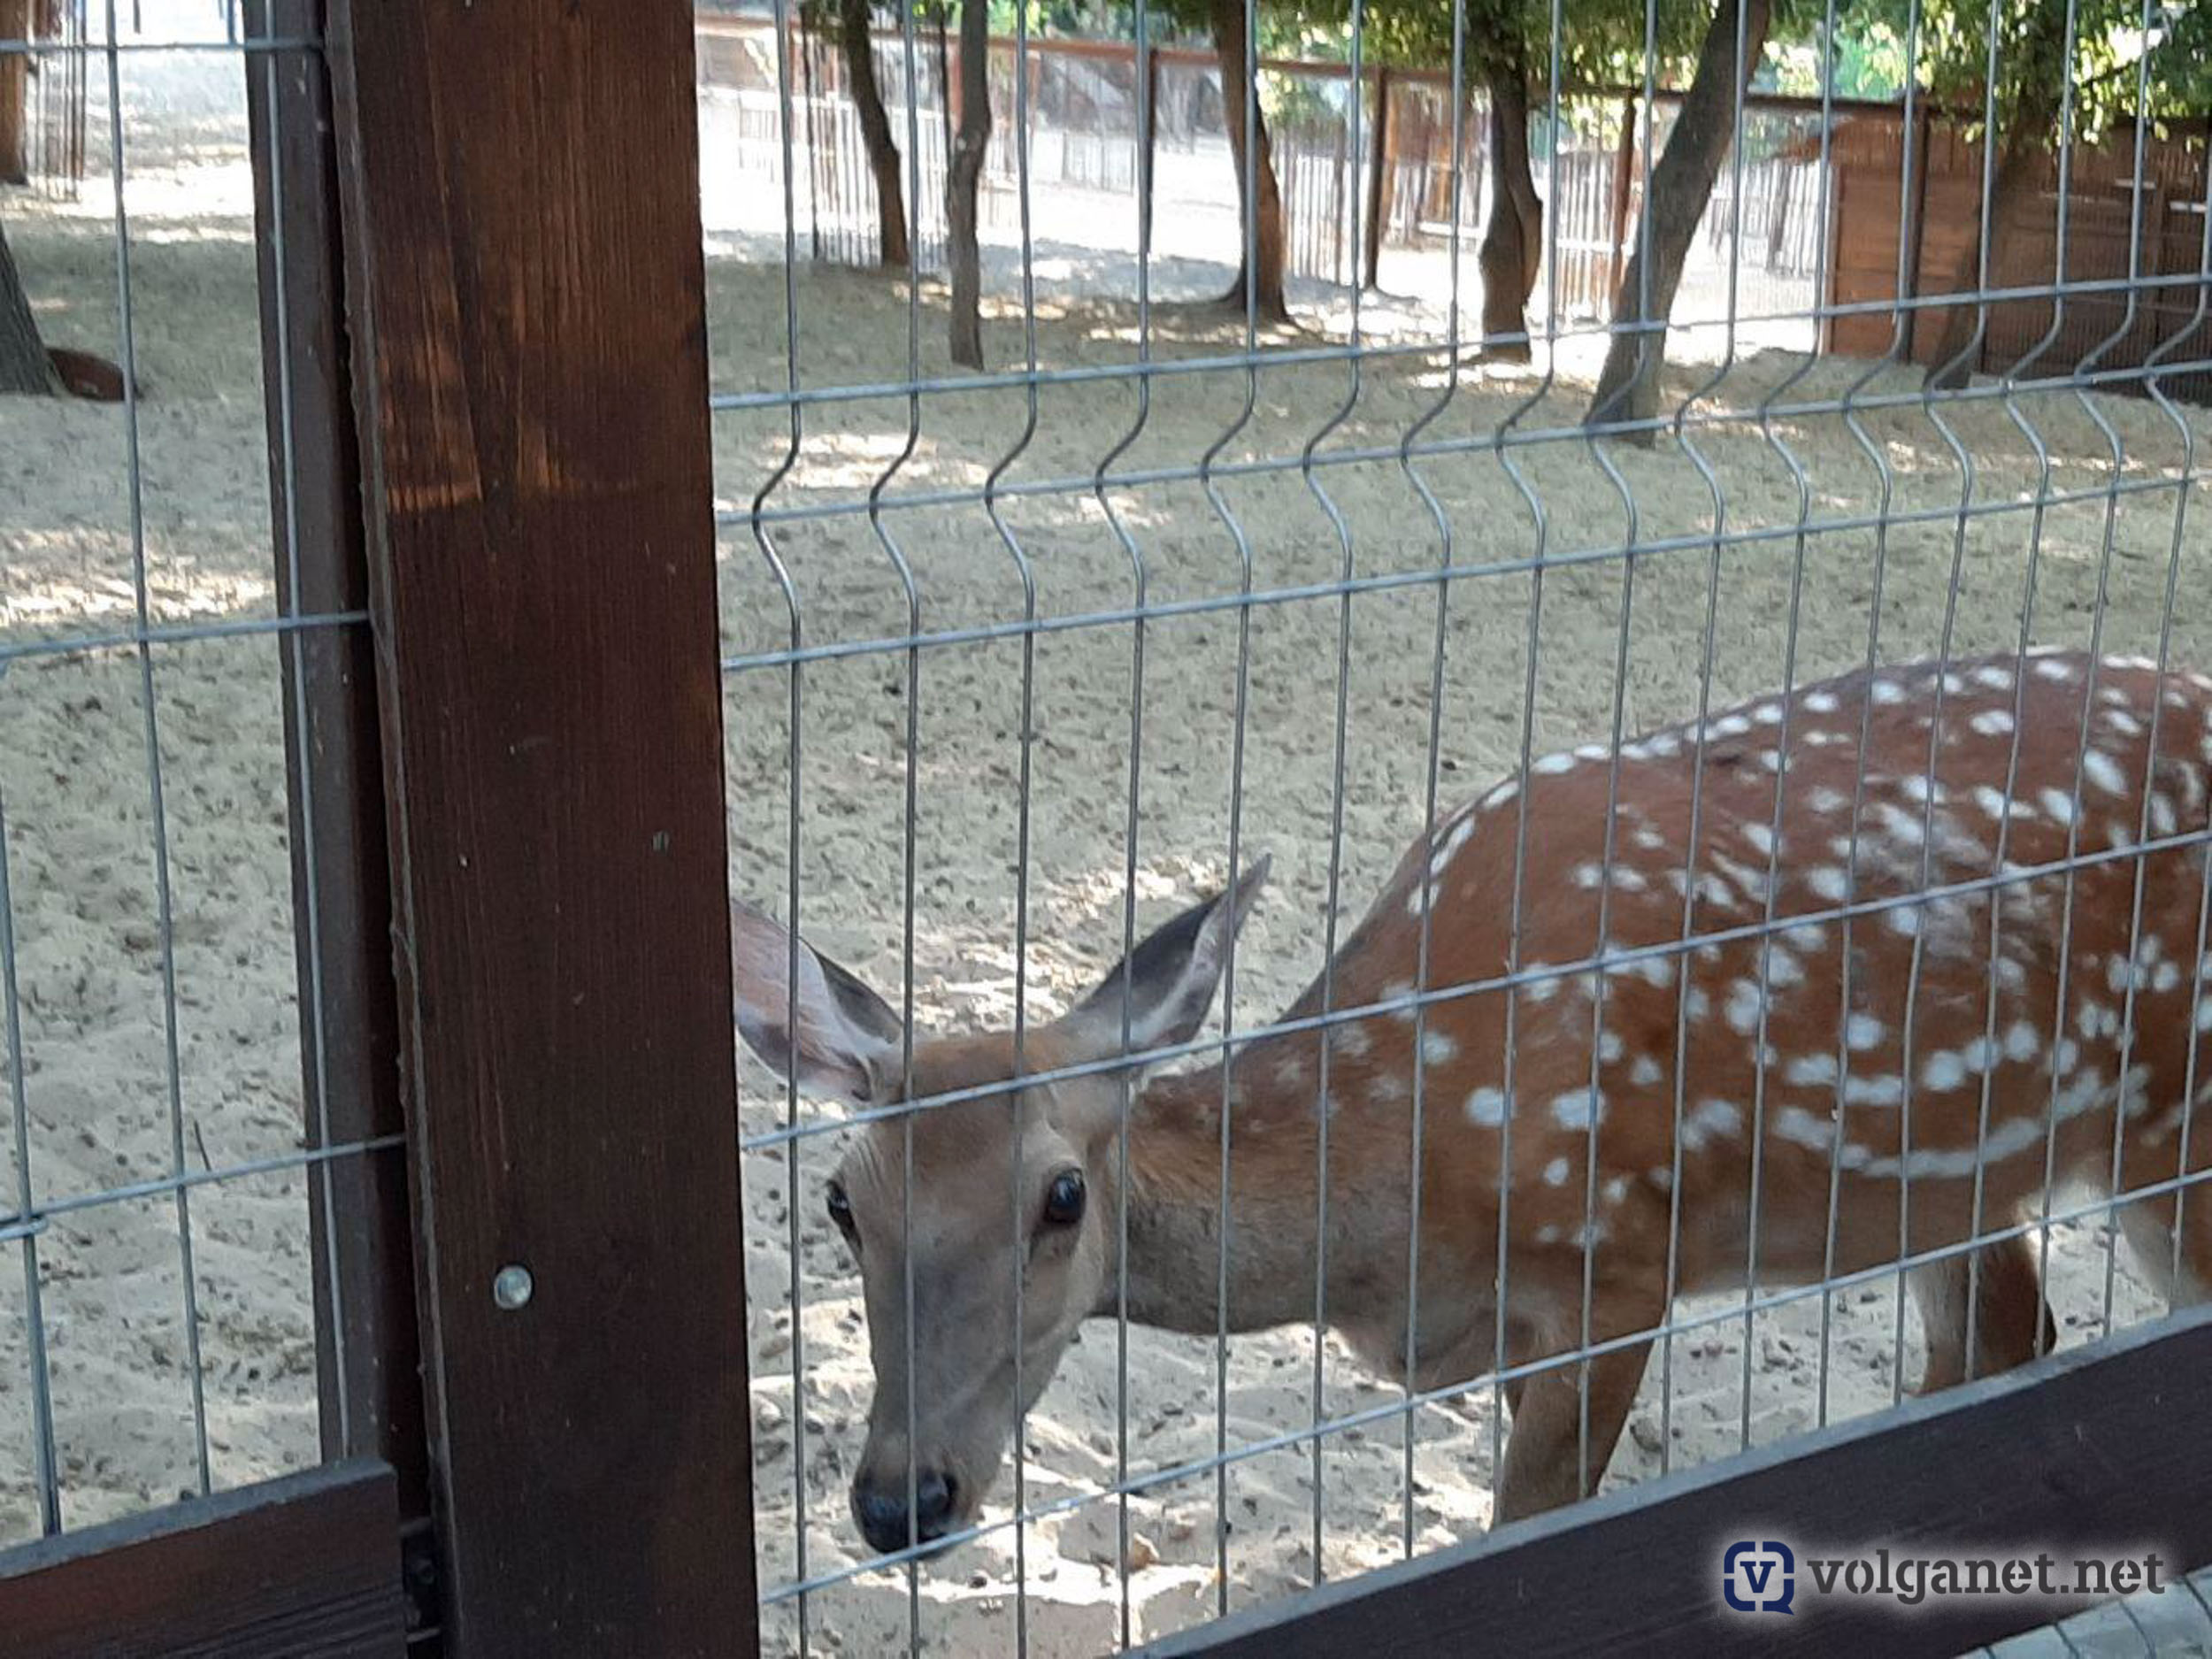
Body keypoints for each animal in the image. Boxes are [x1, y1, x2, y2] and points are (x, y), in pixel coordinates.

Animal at [734, 650, 2212, 1557]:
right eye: (841, 1200)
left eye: (1061, 1192)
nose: (899, 1496)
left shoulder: (1619, 1255)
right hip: (1959, 1167)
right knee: (2007, 1335)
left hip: (2174, 1114)